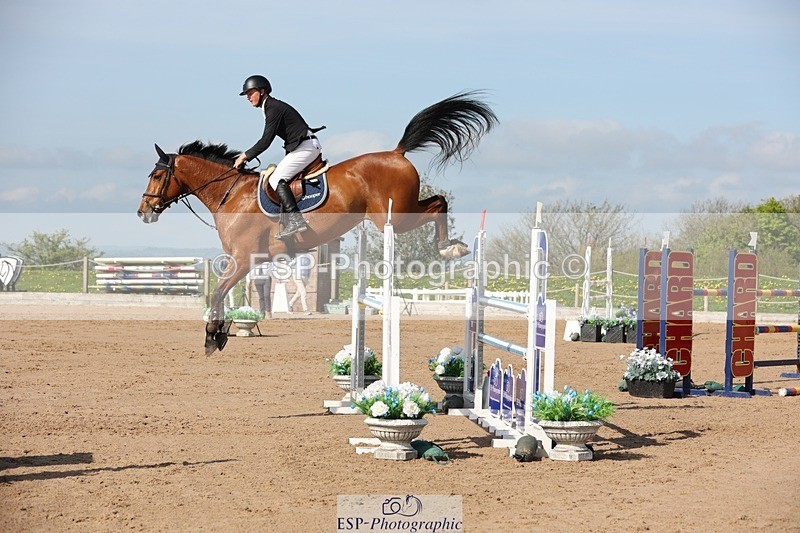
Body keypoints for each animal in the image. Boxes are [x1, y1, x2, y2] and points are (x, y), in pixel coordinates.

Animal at [137, 91, 497, 355]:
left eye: (156, 175)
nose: (144, 212)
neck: (231, 193)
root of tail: (397, 153)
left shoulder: (242, 259)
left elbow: (217, 294)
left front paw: (214, 337)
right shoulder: (245, 261)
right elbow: (222, 294)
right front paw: (220, 332)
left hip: (394, 217)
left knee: (439, 203)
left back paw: (449, 248)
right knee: (438, 201)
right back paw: (452, 247)